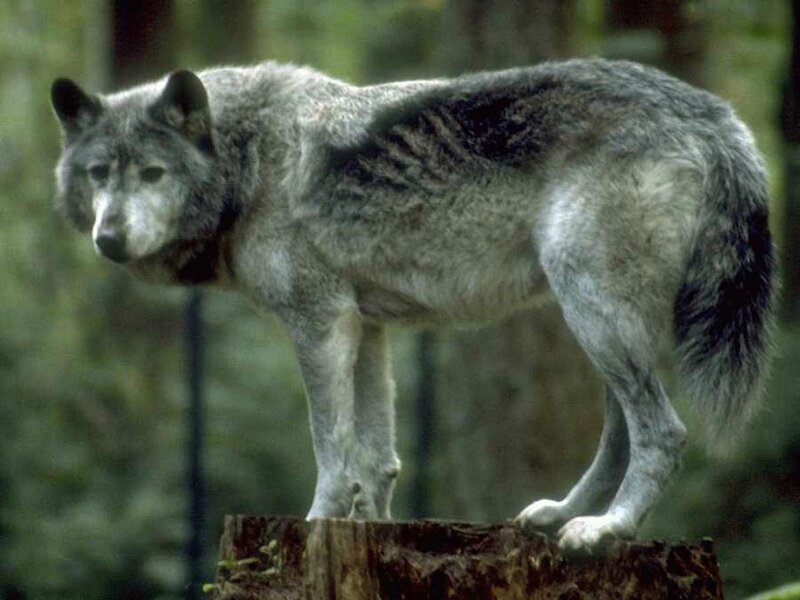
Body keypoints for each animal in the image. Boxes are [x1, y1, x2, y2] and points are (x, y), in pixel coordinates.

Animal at [51, 58, 775, 551]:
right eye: (99, 175)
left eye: (153, 174)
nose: (108, 238)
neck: (250, 161)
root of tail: (712, 112)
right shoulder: (366, 329)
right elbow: (376, 460)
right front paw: (370, 531)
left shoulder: (320, 325)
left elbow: (331, 449)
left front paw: (316, 526)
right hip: (599, 323)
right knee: (623, 432)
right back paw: (565, 516)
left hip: (594, 313)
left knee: (664, 432)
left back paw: (607, 530)